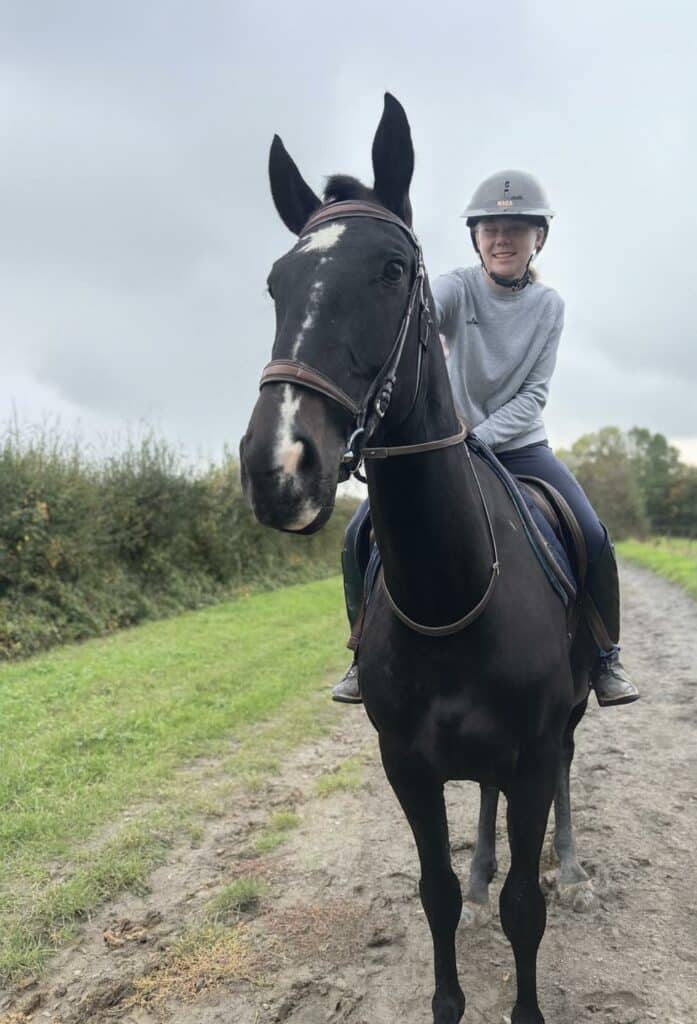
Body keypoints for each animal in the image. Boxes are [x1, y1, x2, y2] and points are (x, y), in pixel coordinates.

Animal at [240, 93, 595, 1024]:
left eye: (393, 269)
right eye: (275, 283)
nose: (277, 466)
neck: (454, 592)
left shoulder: (533, 755)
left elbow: (524, 906)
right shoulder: (405, 766)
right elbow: (432, 894)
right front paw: (454, 938)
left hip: (567, 725)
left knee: (563, 787)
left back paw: (571, 865)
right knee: (480, 818)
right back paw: (478, 868)